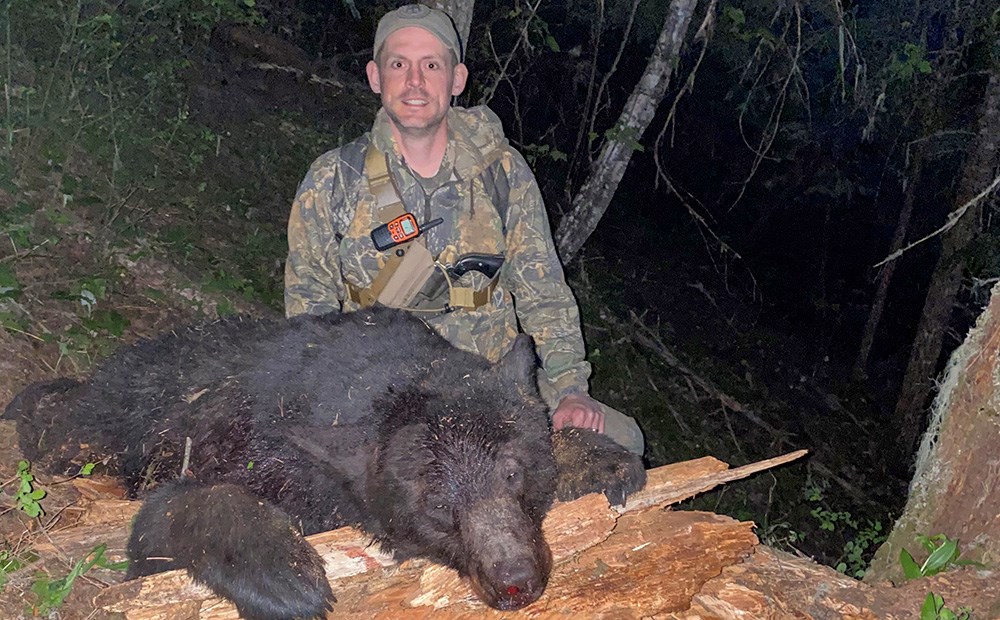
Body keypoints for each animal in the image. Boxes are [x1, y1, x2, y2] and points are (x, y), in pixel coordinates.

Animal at [5, 308, 648, 616]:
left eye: (513, 474)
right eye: (439, 511)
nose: (514, 583)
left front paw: (599, 459)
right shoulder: (256, 452)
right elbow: (169, 518)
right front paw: (285, 572)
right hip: (112, 416)